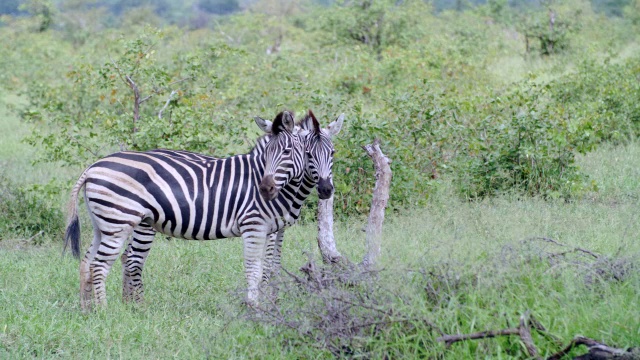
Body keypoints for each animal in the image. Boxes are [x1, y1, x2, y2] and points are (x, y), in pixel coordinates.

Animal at [64, 110, 304, 310]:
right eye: (271, 153)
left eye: (286, 152)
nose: (266, 189)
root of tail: (91, 169)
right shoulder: (258, 223)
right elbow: (262, 266)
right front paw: (262, 305)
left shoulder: (273, 228)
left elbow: (273, 264)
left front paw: (270, 302)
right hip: (124, 222)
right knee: (107, 263)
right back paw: (107, 310)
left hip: (104, 223)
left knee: (88, 261)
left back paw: (89, 308)